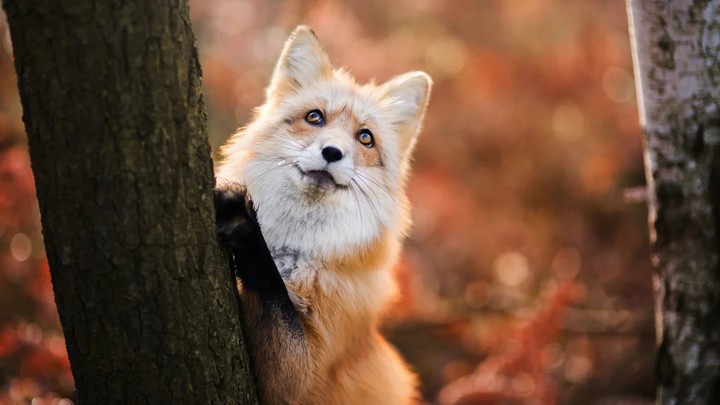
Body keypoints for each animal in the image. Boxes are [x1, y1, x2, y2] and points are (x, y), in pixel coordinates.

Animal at [214, 25, 432, 404]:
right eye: (315, 117)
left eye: (365, 138)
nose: (332, 152)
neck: (294, 253)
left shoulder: (299, 376)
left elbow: (272, 290)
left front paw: (244, 226)